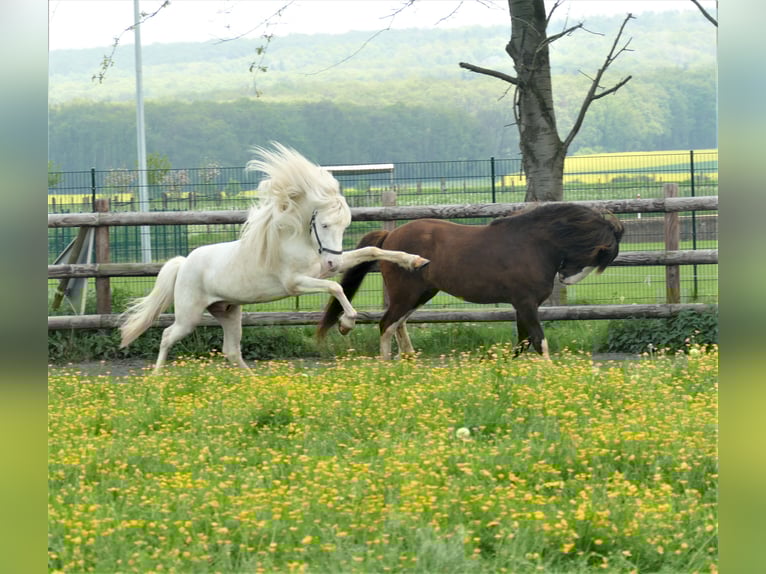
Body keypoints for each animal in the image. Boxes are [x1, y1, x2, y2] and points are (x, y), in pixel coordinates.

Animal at [119, 143, 429, 373]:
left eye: (345, 227)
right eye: (324, 225)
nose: (332, 263)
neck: (295, 239)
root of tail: (184, 263)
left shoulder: (322, 269)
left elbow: (371, 252)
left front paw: (415, 260)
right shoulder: (297, 283)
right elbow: (335, 287)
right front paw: (346, 323)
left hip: (228, 311)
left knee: (231, 351)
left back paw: (254, 383)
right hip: (189, 315)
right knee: (167, 336)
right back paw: (157, 379)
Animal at [318, 203, 624, 360]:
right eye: (601, 255)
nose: (566, 278)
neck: (533, 245)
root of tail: (390, 236)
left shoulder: (521, 306)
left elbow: (522, 342)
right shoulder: (525, 303)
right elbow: (538, 341)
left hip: (422, 294)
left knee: (397, 324)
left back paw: (409, 362)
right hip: (407, 294)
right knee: (386, 324)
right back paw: (387, 366)